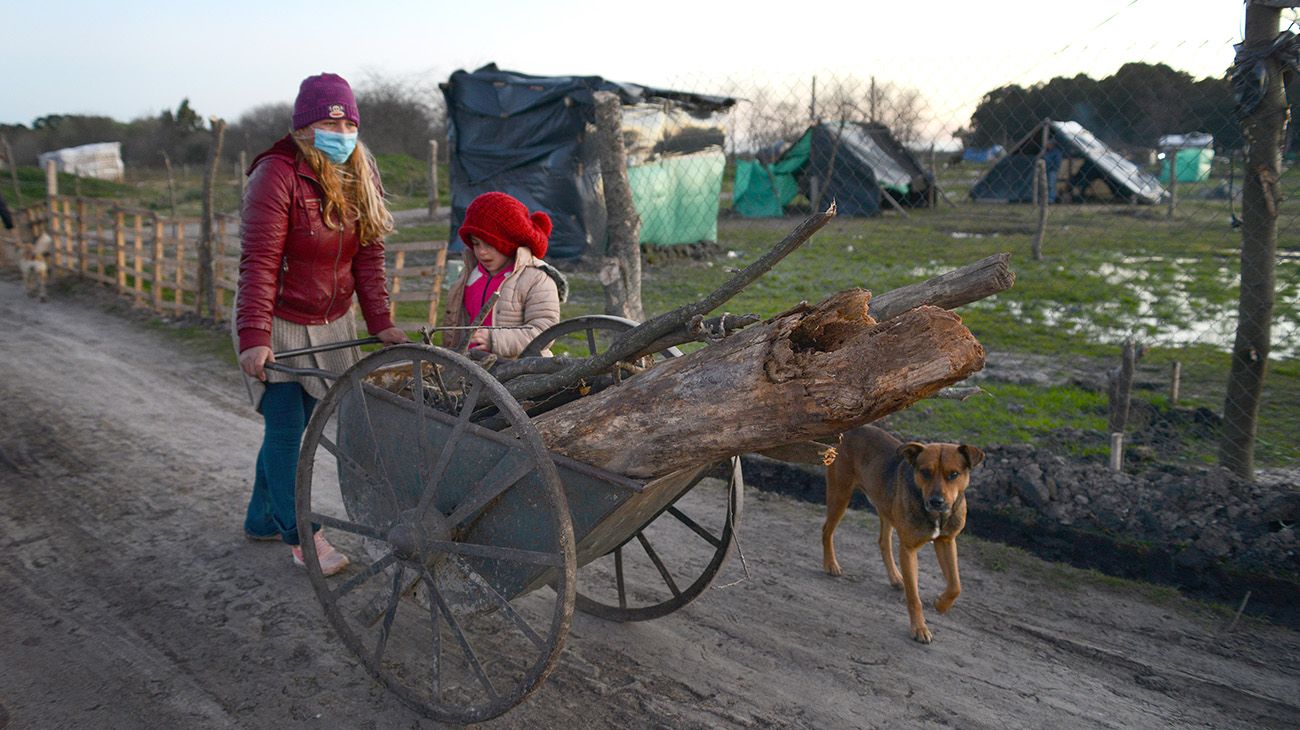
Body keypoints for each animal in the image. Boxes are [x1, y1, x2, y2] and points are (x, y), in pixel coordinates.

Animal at [821, 423, 982, 639]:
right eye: (925, 472)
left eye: (954, 474)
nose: (936, 501)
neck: (935, 515)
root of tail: (851, 429)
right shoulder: (908, 549)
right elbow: (914, 596)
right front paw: (920, 628)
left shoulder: (946, 541)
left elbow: (956, 585)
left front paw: (941, 604)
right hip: (841, 494)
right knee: (826, 530)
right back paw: (831, 565)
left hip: (885, 506)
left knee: (883, 542)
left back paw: (896, 578)